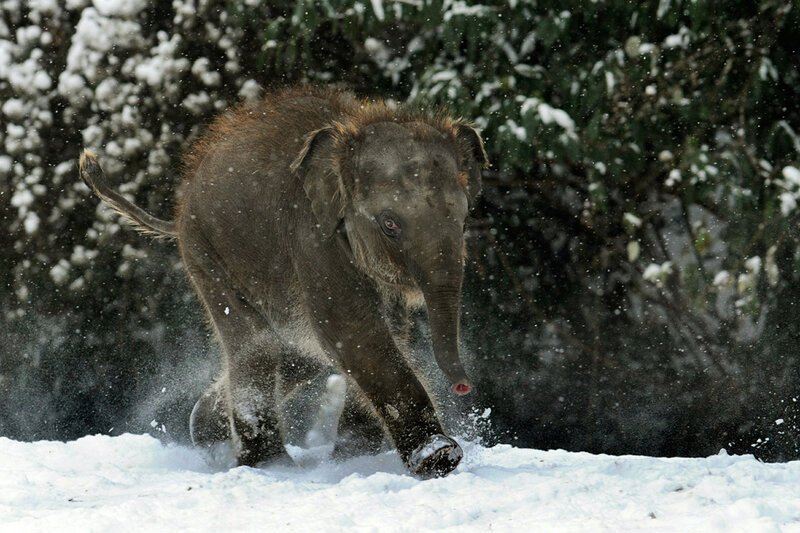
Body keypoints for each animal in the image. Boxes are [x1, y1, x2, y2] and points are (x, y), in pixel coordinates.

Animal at [78, 86, 487, 478]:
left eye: (466, 218)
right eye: (390, 223)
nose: (464, 386)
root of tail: (178, 212)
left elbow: (381, 334)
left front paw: (355, 456)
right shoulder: (312, 238)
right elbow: (354, 332)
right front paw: (438, 457)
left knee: (296, 354)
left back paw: (208, 433)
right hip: (205, 253)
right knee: (257, 346)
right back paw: (267, 464)